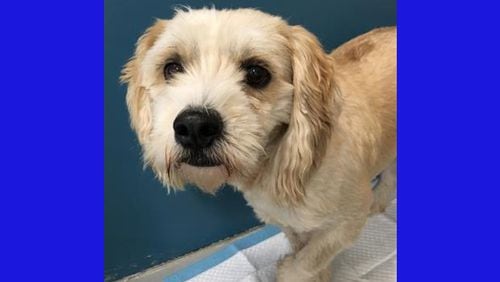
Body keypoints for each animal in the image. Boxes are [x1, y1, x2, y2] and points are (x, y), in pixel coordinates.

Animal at [121, 7, 394, 282]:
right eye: (172, 67)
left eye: (256, 73)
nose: (194, 127)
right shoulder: (287, 221)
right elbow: (303, 248)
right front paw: (320, 274)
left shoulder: (348, 220)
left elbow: (309, 258)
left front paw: (293, 271)